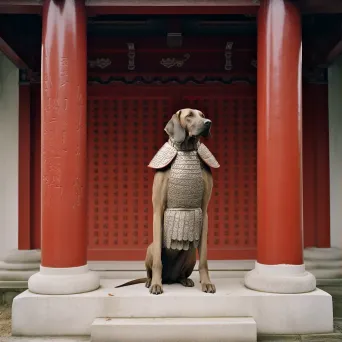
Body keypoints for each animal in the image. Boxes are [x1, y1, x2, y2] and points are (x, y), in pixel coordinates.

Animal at [115, 109, 219, 294]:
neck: (186, 148)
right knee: (150, 269)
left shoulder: (204, 212)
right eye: (189, 115)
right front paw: (156, 284)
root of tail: (169, 278)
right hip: (149, 248)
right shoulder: (158, 210)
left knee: (182, 273)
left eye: (202, 115)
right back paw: (151, 281)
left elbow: (204, 260)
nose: (208, 122)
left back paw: (185, 280)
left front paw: (206, 283)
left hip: (190, 254)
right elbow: (158, 262)